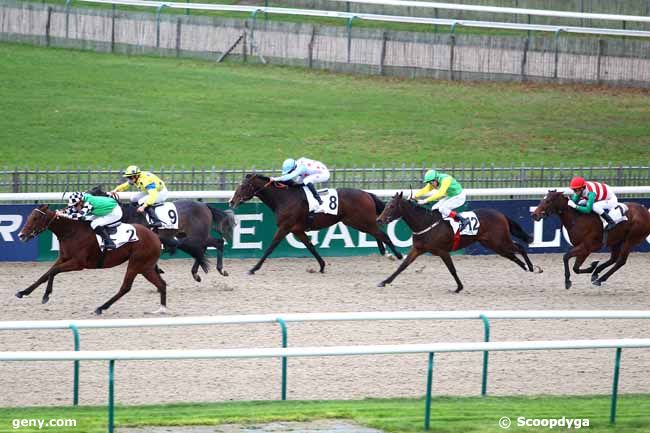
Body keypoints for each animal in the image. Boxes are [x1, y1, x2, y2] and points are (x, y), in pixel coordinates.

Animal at [16, 205, 167, 314]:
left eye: (35, 218)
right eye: (29, 216)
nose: (21, 235)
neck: (71, 231)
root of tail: (155, 236)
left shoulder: (78, 263)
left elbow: (54, 271)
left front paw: (46, 296)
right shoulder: (63, 258)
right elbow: (46, 274)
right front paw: (23, 292)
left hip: (137, 264)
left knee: (126, 287)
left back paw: (101, 307)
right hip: (146, 267)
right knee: (161, 284)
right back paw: (162, 308)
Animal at [90, 185, 234, 280]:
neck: (130, 214)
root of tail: (204, 206)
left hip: (197, 235)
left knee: (217, 243)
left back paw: (221, 269)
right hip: (189, 235)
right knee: (203, 248)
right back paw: (196, 273)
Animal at [228, 173, 400, 272]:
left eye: (243, 186)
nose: (231, 202)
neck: (284, 198)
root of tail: (367, 194)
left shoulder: (284, 227)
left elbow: (271, 247)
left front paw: (254, 268)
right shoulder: (297, 230)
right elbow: (310, 246)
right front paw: (322, 265)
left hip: (360, 221)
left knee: (383, 235)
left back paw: (397, 255)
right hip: (357, 222)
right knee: (377, 233)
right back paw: (386, 252)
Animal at [374, 193, 536, 292]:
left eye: (391, 206)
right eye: (386, 205)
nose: (379, 219)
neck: (425, 223)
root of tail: (500, 214)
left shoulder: (443, 251)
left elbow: (452, 269)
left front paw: (459, 287)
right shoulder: (418, 249)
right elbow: (403, 265)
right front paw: (385, 281)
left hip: (500, 240)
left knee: (519, 247)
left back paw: (532, 267)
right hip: (492, 244)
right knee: (511, 254)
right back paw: (524, 267)